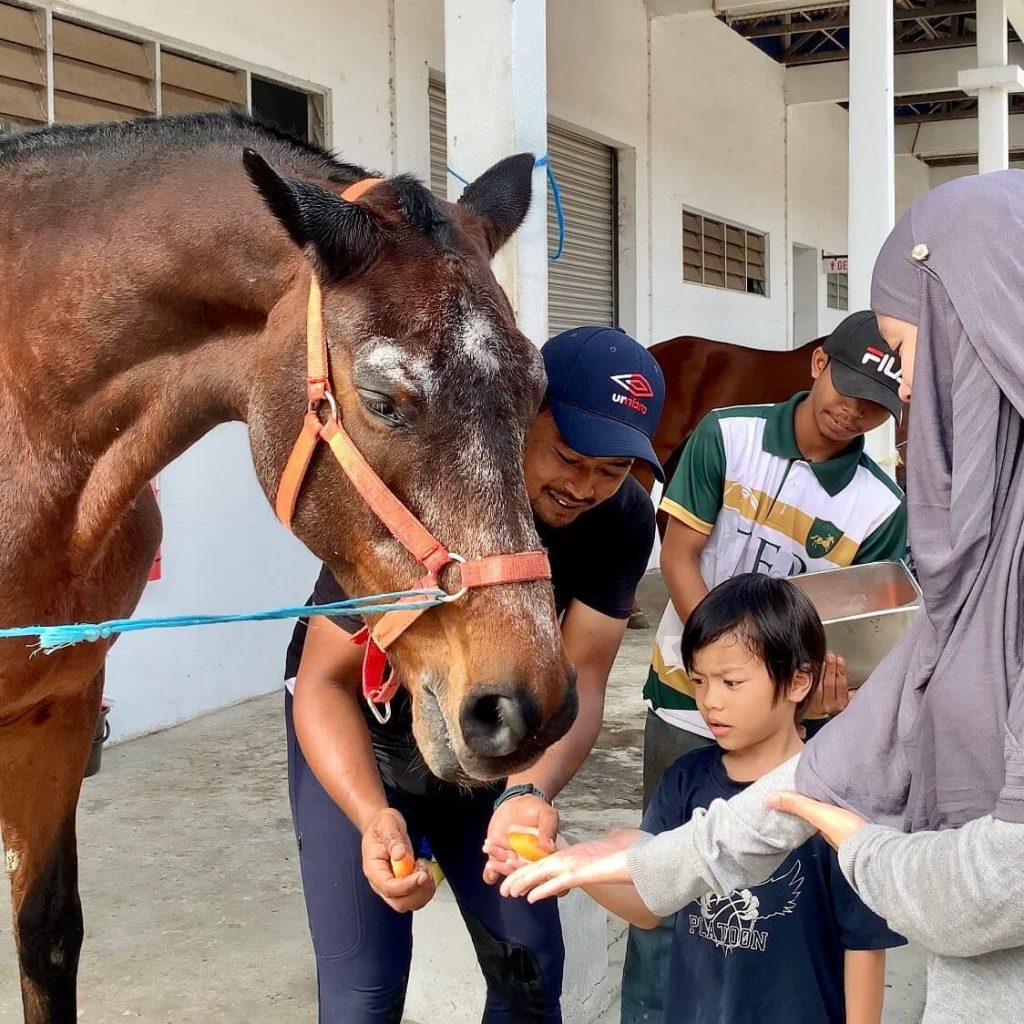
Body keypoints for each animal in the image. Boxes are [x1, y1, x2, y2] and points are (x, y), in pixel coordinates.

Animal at [0, 108, 577, 1019]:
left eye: (535, 393)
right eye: (384, 401)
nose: (525, 707)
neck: (25, 426)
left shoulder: (57, 710)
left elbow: (46, 932)